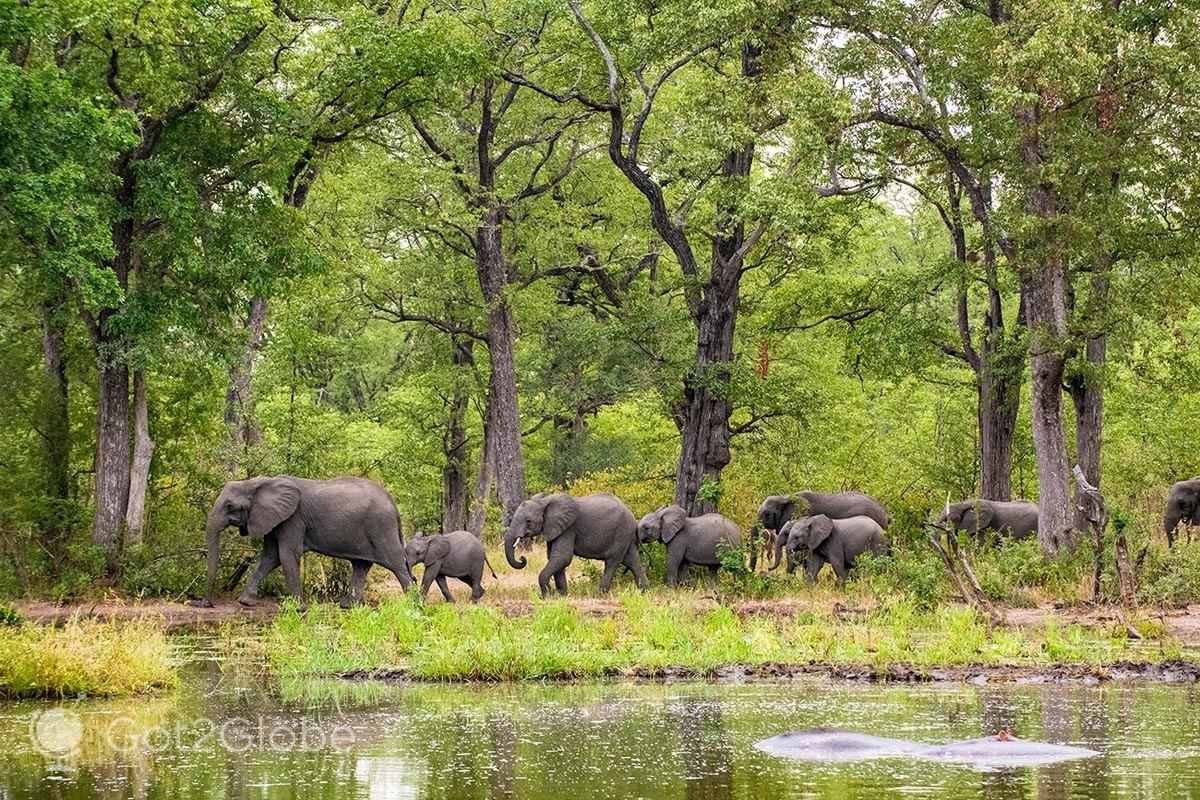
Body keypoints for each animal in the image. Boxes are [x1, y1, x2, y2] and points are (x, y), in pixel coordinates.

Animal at [199, 475, 414, 609]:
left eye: (230, 506)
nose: (209, 604)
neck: (259, 483)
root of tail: (393, 503)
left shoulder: (293, 518)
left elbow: (287, 554)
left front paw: (297, 608)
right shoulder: (274, 518)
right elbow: (270, 557)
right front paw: (245, 603)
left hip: (381, 527)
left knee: (396, 563)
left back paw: (415, 604)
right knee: (361, 565)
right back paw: (348, 606)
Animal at [503, 492, 649, 597]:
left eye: (528, 521)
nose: (522, 558)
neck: (545, 502)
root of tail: (634, 518)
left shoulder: (569, 528)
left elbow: (563, 557)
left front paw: (547, 596)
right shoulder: (555, 528)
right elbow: (554, 558)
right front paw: (562, 596)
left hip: (622, 532)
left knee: (612, 562)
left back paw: (600, 595)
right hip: (626, 535)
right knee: (632, 561)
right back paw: (644, 592)